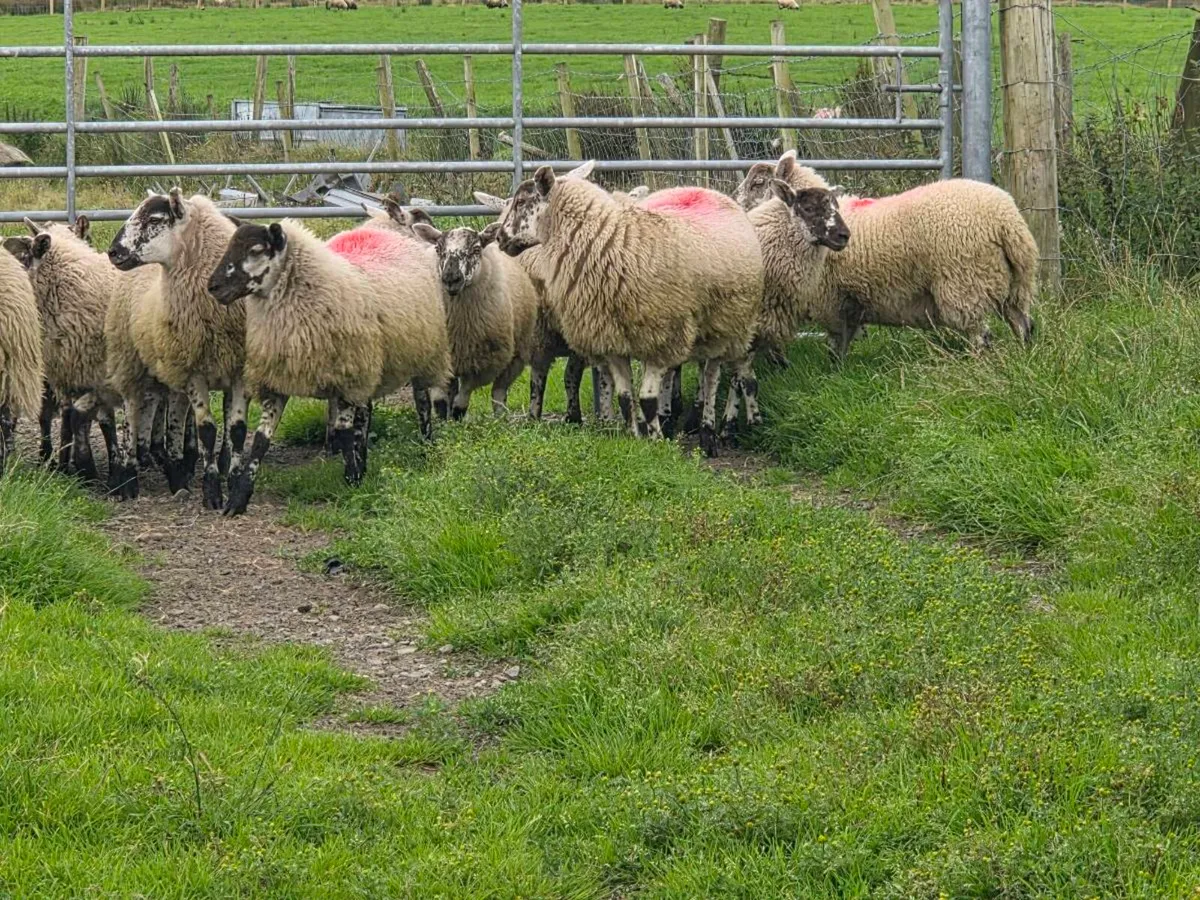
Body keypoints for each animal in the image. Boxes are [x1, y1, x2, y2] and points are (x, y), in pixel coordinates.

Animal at [108, 189, 247, 510]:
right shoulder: (194, 371)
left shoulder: (238, 370)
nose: (113, 252)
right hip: (128, 359)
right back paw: (129, 477)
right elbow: (207, 429)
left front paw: (235, 489)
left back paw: (176, 474)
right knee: (131, 412)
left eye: (154, 220)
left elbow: (236, 430)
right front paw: (211, 492)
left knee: (164, 410)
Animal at [206, 219, 451, 516]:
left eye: (255, 250)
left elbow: (344, 433)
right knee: (365, 414)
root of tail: (383, 232)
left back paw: (426, 445)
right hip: (368, 369)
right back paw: (364, 457)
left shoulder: (347, 376)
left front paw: (354, 480)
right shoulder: (279, 379)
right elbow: (262, 440)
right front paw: (238, 498)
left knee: (421, 403)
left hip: (422, 355)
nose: (213, 286)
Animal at [410, 220, 539, 420]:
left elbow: (464, 394)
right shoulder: (439, 358)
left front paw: (457, 415)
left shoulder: (482, 361)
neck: (456, 324)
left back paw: (499, 417)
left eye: (476, 249)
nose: (451, 278)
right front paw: (443, 418)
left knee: (498, 391)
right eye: (438, 249)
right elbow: (440, 398)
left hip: (516, 357)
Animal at [494, 161, 763, 457]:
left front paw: (657, 443)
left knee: (712, 377)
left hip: (728, 326)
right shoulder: (611, 340)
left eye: (521, 201)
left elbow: (647, 399)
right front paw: (636, 437)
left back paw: (708, 434)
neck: (608, 241)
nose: (499, 237)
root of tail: (706, 190)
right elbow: (625, 398)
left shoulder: (660, 337)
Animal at [736, 151, 1039, 358]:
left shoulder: (829, 300)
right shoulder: (846, 301)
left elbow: (837, 343)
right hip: (1015, 284)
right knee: (1023, 325)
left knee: (981, 336)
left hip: (965, 284)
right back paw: (1023, 361)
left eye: (757, 183)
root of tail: (1006, 220)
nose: (735, 203)